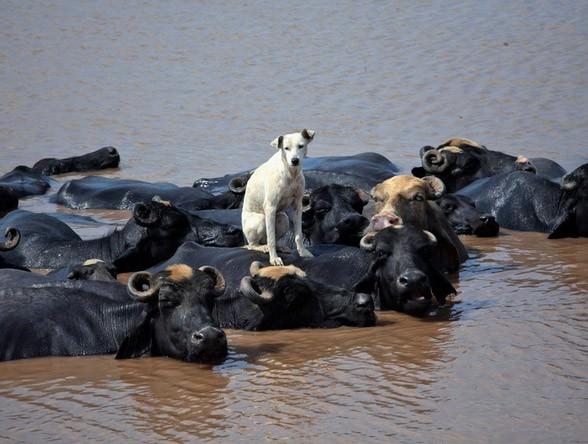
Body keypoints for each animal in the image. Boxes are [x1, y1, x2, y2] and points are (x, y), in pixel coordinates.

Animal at [242, 130, 316, 266]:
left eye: (301, 146)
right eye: (286, 148)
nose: (294, 160)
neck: (290, 173)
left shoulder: (298, 205)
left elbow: (298, 235)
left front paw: (303, 252)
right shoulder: (270, 207)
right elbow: (271, 239)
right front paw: (274, 259)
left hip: (283, 218)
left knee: (273, 239)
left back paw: (281, 247)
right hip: (260, 220)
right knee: (253, 244)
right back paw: (263, 247)